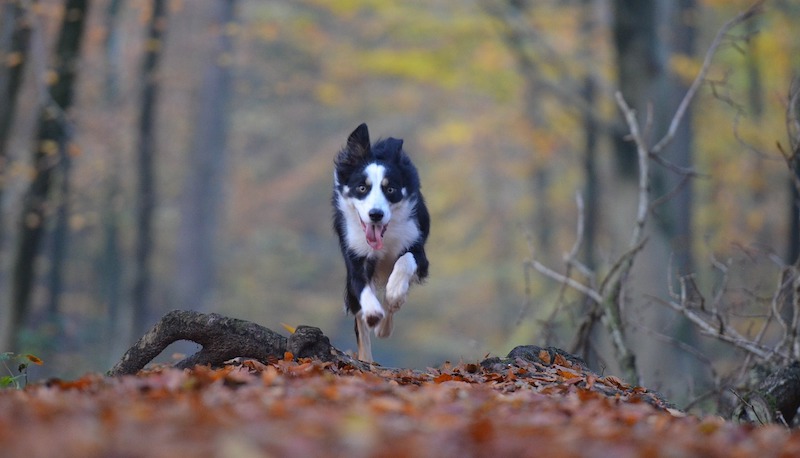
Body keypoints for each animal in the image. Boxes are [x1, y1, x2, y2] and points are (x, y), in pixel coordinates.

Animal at [332, 123, 432, 364]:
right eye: (362, 188)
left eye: (390, 189)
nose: (375, 214)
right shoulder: (355, 254)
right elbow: (361, 287)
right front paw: (373, 312)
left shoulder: (418, 250)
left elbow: (405, 261)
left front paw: (395, 293)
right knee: (359, 320)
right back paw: (367, 355)